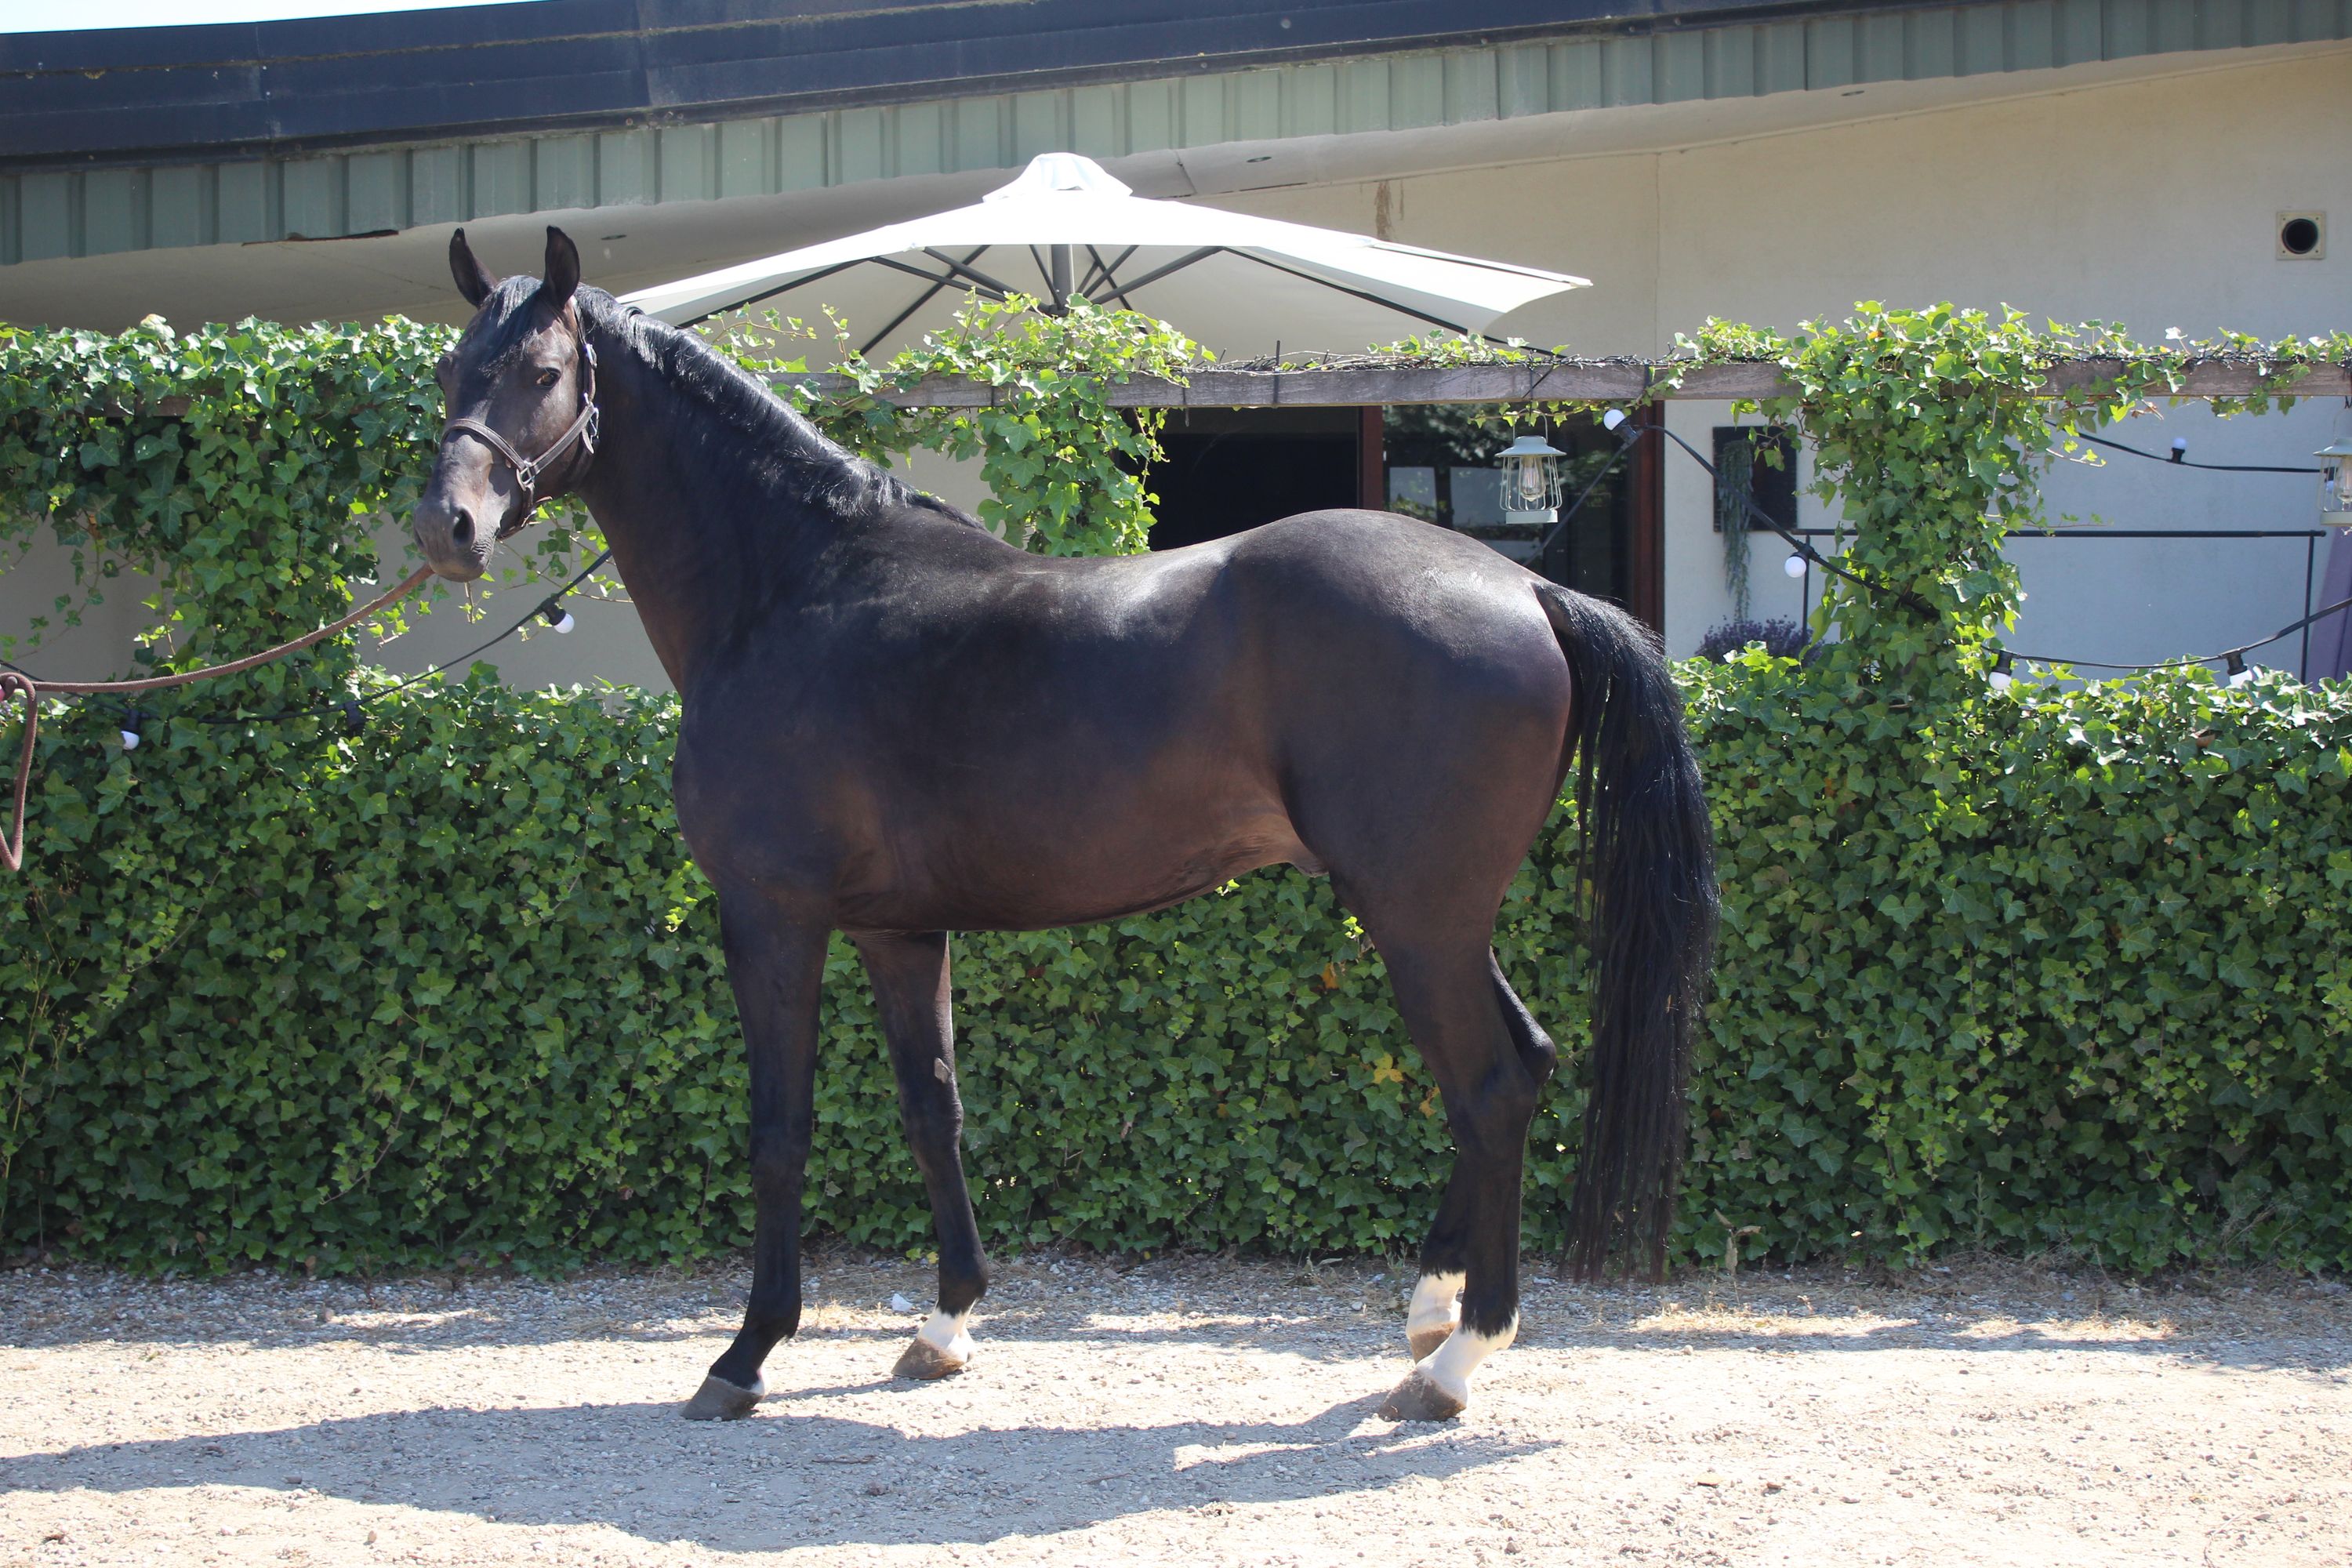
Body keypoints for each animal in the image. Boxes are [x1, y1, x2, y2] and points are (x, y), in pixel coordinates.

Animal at [409, 226, 1716, 1423]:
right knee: (1521, 1066)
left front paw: (744, 1357)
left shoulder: (771, 918)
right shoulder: (896, 932)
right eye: (448, 371)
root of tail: (1528, 587)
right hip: (1437, 916)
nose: (446, 530)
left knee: (1488, 1087)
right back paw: (1431, 1314)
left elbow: (780, 1130)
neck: (793, 589)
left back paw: (1457, 1360)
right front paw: (944, 1327)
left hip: (1418, 917)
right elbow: (932, 1109)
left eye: (542, 372)